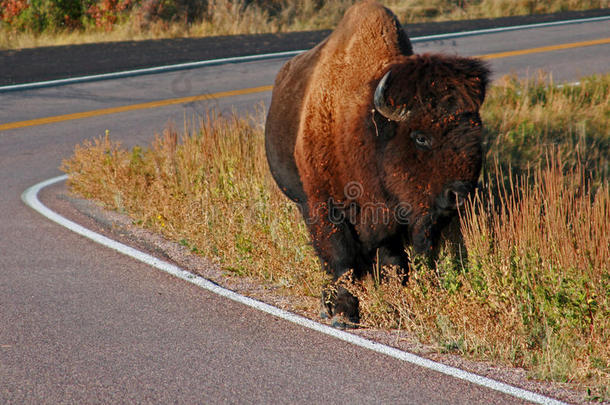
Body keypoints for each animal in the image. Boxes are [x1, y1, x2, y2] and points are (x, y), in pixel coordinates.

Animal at [264, 0, 486, 326]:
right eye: (420, 137)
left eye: (476, 131)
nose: (458, 194)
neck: (365, 126)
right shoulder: (325, 207)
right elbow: (341, 258)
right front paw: (343, 313)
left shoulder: (393, 219)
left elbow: (392, 261)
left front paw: (394, 306)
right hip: (302, 202)